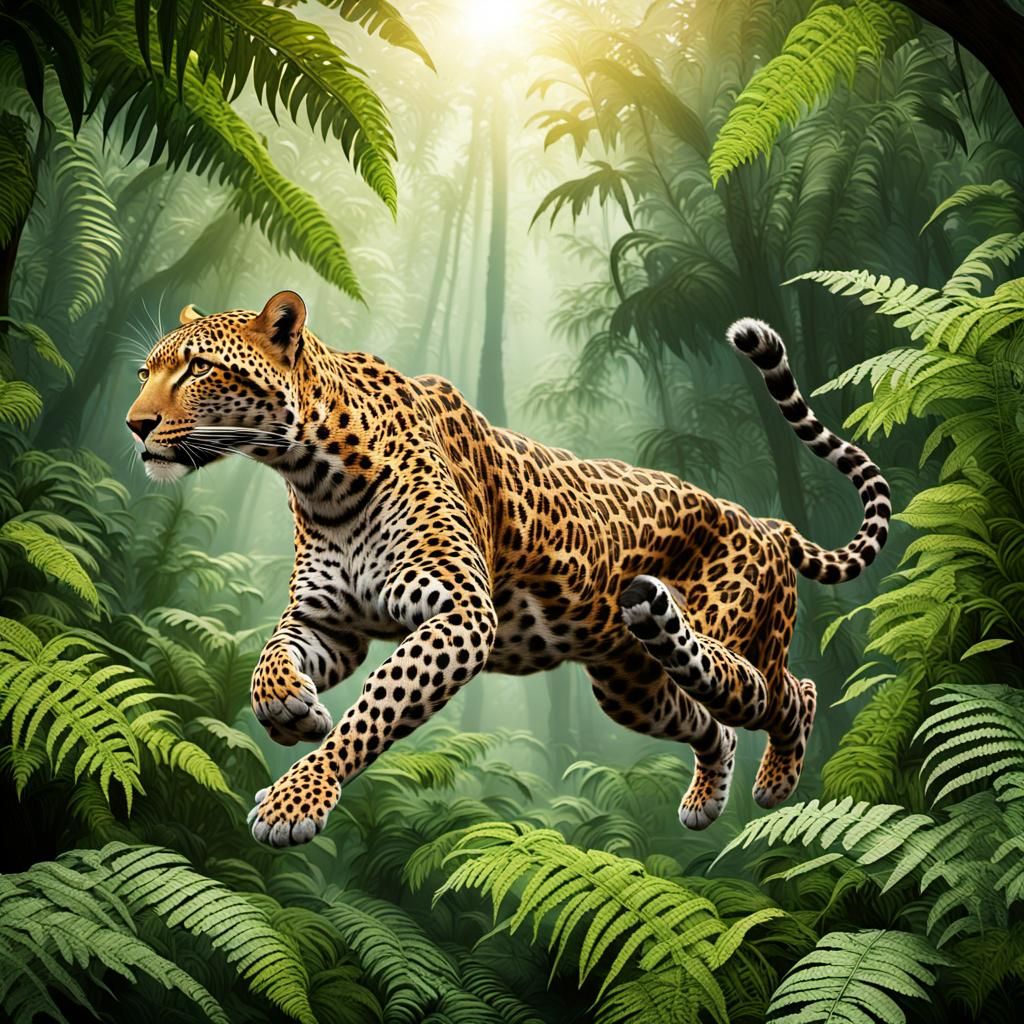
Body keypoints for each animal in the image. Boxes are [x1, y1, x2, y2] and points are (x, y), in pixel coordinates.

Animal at [126, 291, 891, 847]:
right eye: (144, 372)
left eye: (197, 369)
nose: (135, 425)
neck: (316, 475)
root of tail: (768, 523)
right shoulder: (329, 622)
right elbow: (271, 658)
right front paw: (289, 706)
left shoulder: (461, 613)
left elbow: (372, 711)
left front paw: (295, 799)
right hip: (631, 686)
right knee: (715, 723)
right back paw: (706, 798)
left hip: (724, 636)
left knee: (787, 692)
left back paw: (777, 778)